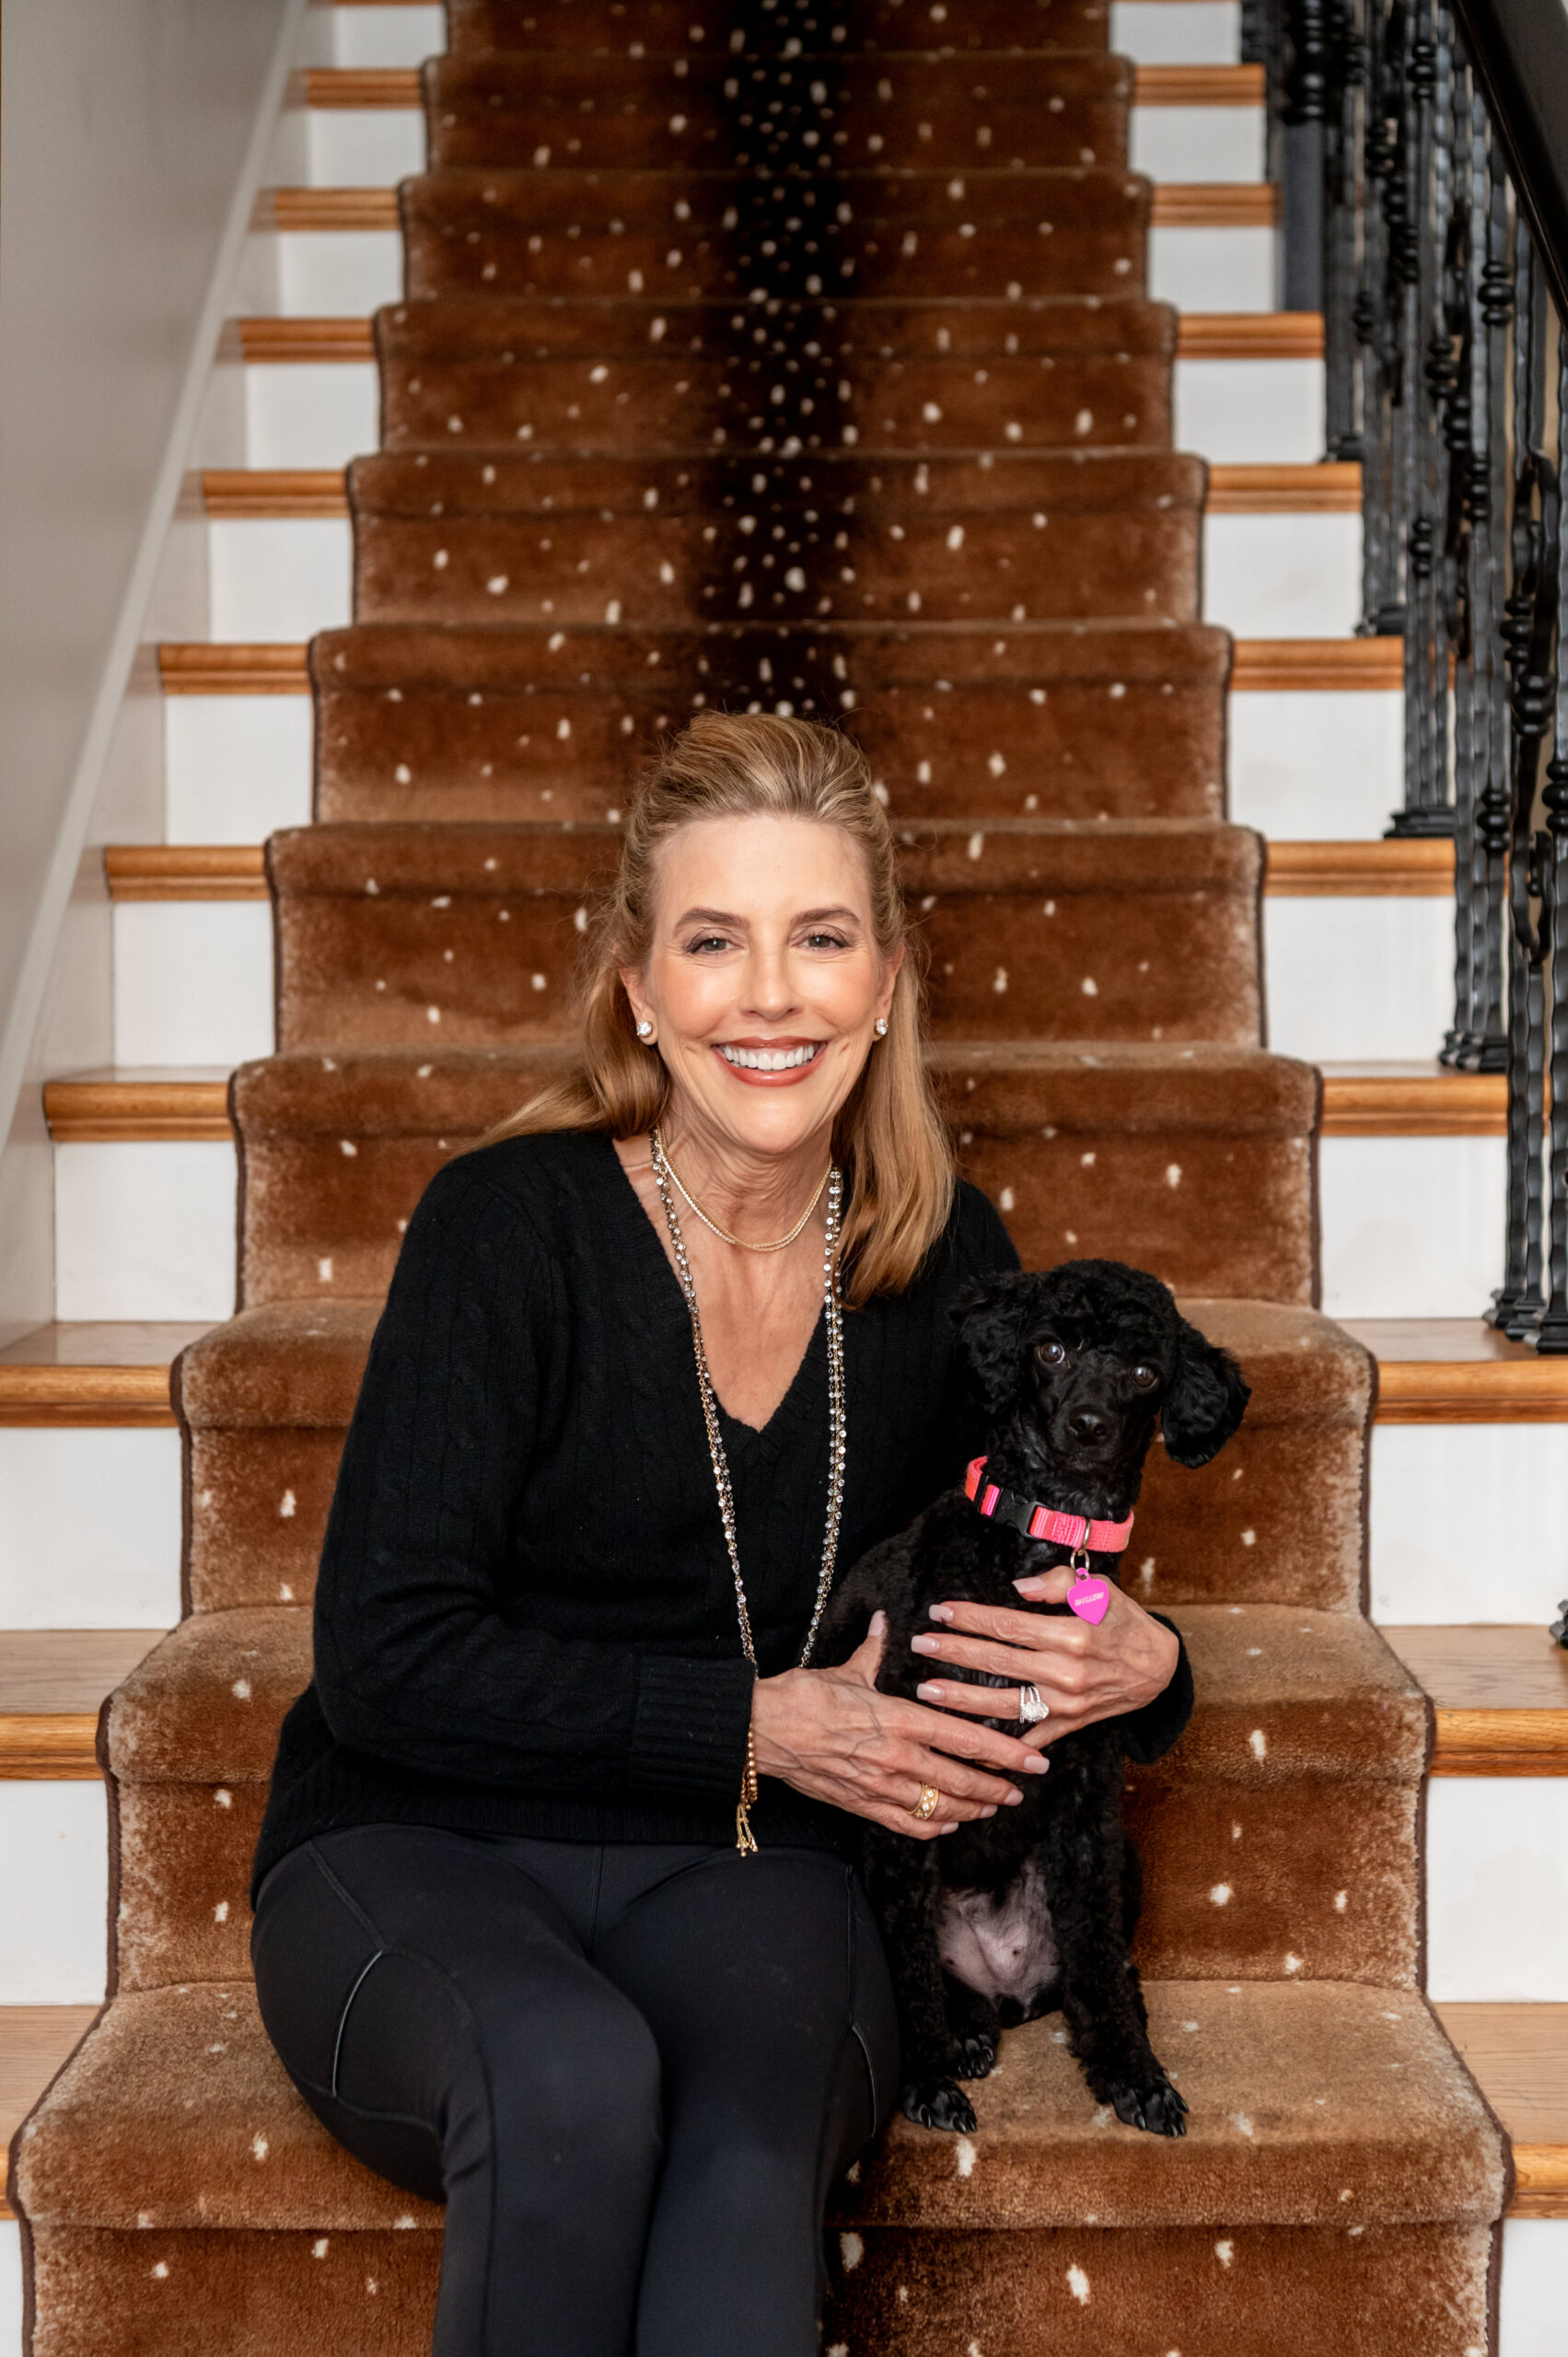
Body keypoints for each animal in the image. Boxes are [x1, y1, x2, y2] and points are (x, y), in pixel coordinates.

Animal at [820, 1263, 1245, 2149]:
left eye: (1143, 1373)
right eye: (1049, 1350)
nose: (1085, 1425)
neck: (1043, 1546)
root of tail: (1007, 1989)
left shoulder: (1085, 1809)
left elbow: (1098, 1966)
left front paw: (1131, 2075)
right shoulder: (905, 1796)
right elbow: (909, 1973)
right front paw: (927, 2081)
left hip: (1122, 1862)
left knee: (1098, 1973)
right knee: (941, 1981)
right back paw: (962, 2035)